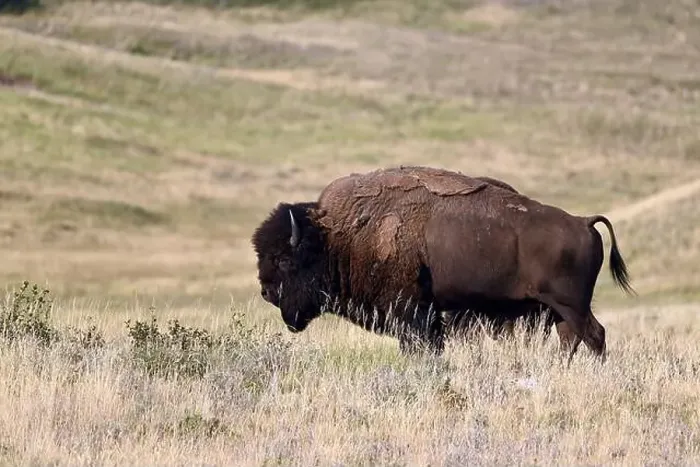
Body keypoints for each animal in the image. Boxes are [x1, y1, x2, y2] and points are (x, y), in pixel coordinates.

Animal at [251, 166, 634, 362]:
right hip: (558, 309)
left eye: (283, 259)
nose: (266, 292)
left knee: (594, 335)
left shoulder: (413, 313)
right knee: (572, 339)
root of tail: (583, 221)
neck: (335, 237)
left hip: (571, 305)